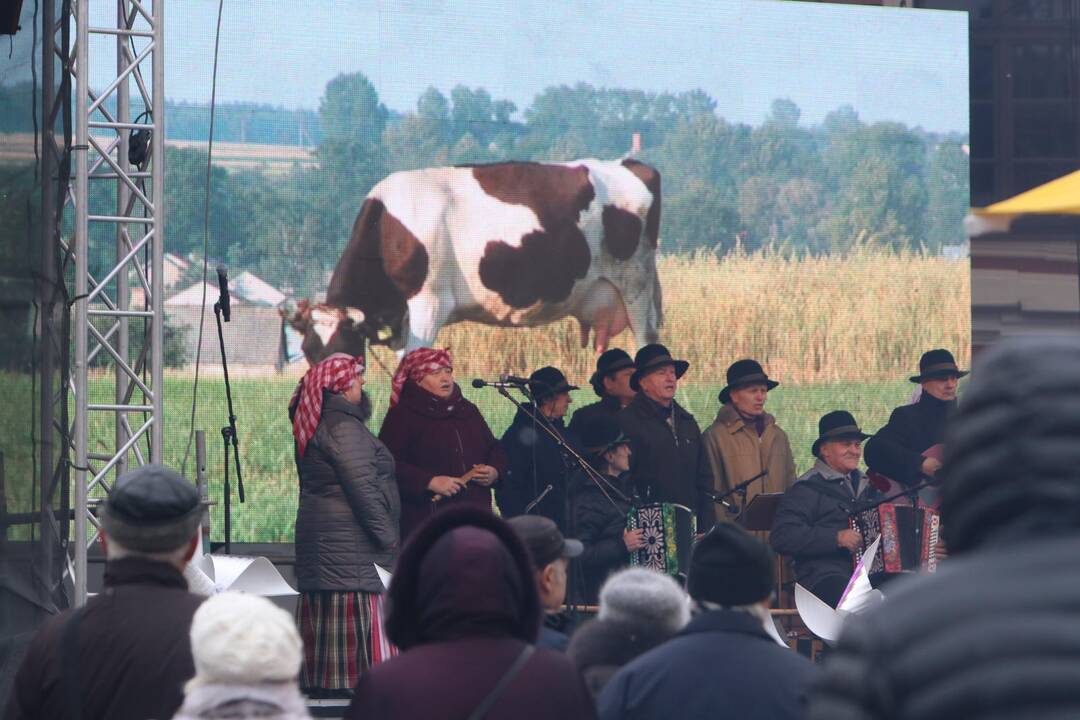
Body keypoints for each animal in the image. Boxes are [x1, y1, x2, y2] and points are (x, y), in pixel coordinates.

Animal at [289, 156, 656, 360]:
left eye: (345, 348)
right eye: (308, 352)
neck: (388, 225)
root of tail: (628, 165)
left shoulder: (429, 305)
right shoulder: (401, 321)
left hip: (636, 287)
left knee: (646, 342)